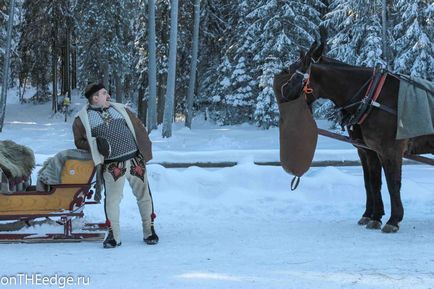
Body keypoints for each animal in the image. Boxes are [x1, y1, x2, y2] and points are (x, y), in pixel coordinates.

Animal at [274, 42, 434, 232]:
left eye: (295, 72)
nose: (284, 91)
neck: (371, 97)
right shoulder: (368, 150)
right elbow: (371, 182)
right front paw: (373, 216)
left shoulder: (390, 150)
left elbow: (392, 183)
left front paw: (393, 220)